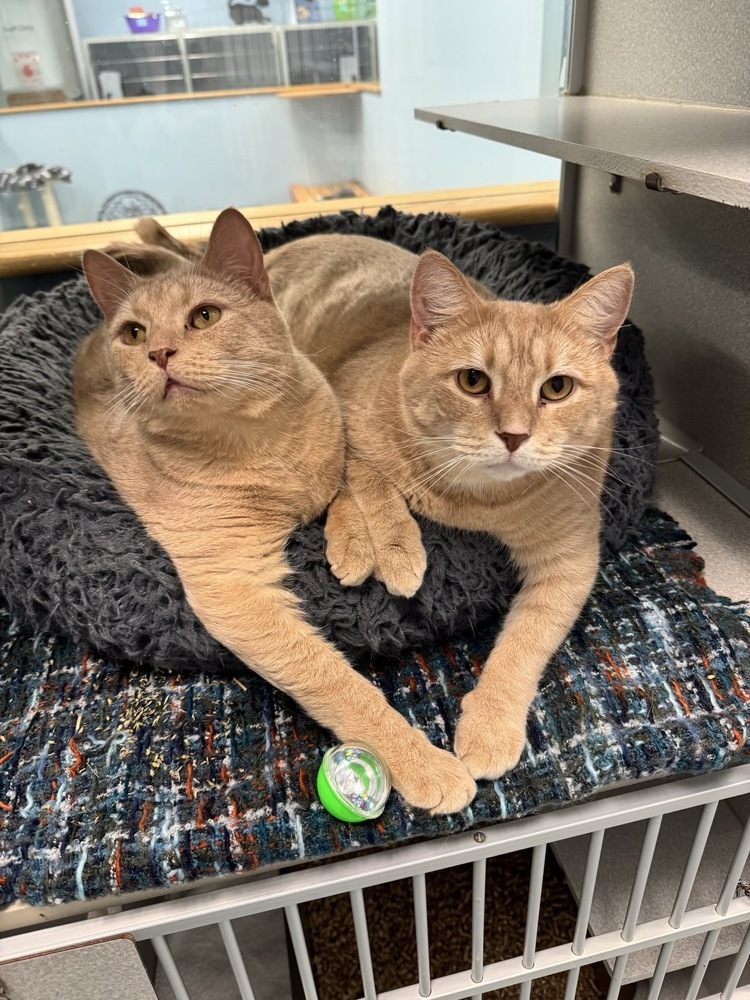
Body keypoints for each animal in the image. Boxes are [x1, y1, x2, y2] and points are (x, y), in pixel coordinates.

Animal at [75, 211, 476, 812]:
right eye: (135, 333)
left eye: (205, 316)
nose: (158, 353)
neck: (265, 445)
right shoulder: (234, 585)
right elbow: (335, 681)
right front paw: (421, 763)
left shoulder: (340, 454)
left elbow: (351, 487)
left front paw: (361, 546)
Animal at [266, 236, 636, 780]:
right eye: (472, 382)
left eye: (557, 388)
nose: (513, 435)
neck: (478, 502)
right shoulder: (343, 436)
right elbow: (370, 481)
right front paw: (394, 549)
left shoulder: (569, 561)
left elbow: (528, 641)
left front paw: (491, 725)